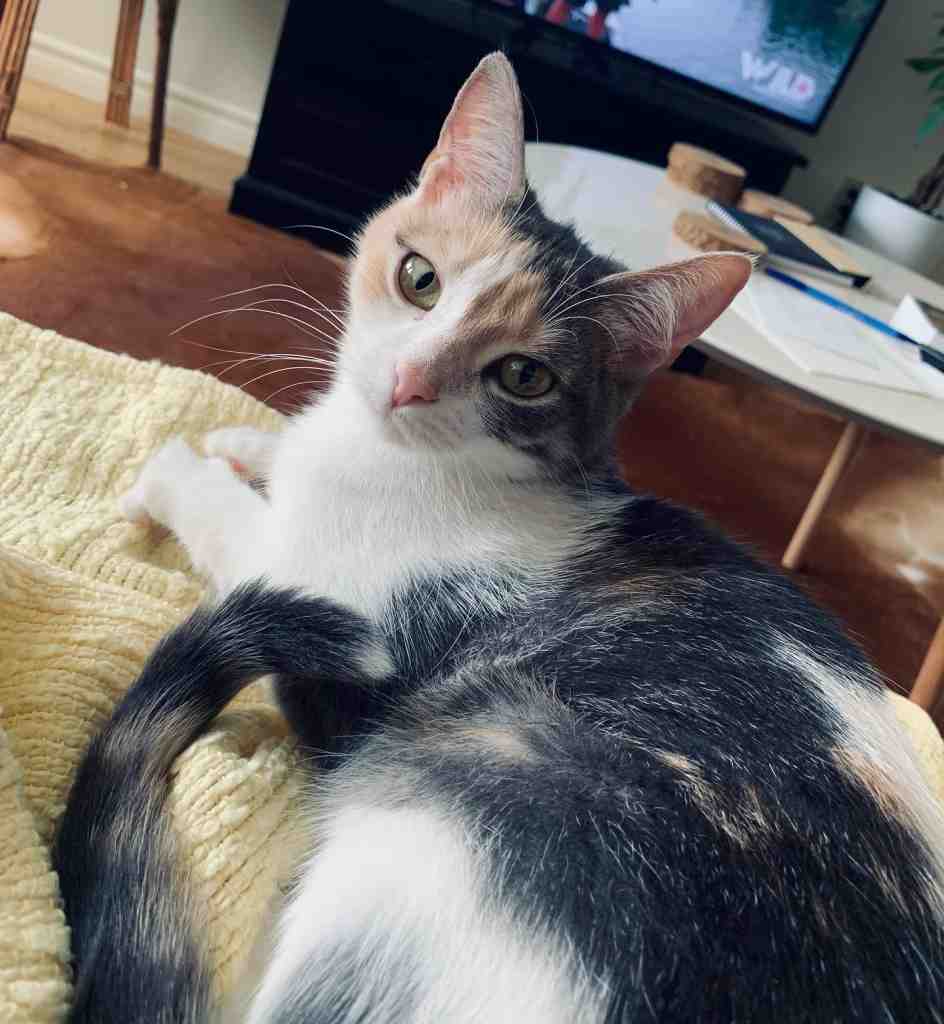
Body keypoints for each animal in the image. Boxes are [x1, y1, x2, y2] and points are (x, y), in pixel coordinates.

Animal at [57, 56, 941, 1024]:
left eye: (524, 375)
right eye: (420, 279)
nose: (408, 381)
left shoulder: (332, 610)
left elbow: (242, 529)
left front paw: (180, 469)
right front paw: (249, 441)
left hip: (489, 764)